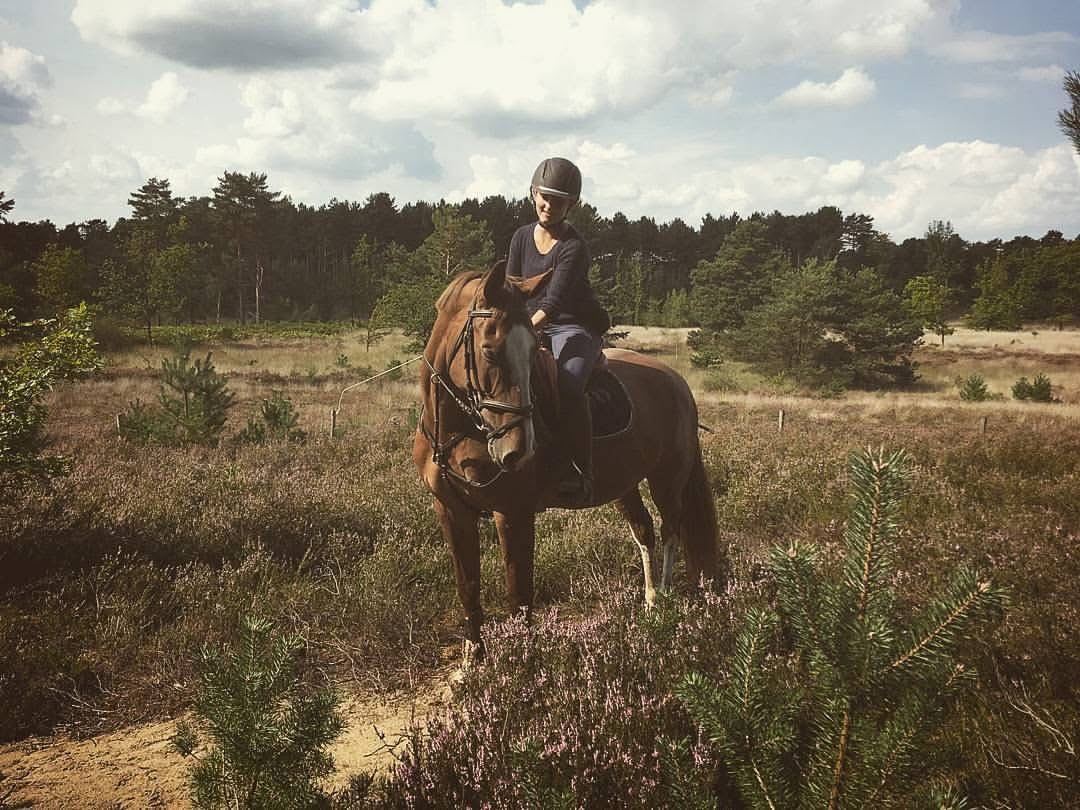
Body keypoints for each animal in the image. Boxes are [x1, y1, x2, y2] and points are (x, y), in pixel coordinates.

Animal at [412, 260, 725, 662]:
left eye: (532, 353)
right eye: (490, 351)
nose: (518, 451)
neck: (459, 430)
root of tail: (678, 382)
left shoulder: (513, 512)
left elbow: (519, 595)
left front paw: (521, 662)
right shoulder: (451, 510)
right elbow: (468, 587)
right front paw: (472, 660)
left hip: (666, 479)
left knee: (671, 529)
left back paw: (666, 604)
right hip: (625, 484)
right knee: (644, 531)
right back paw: (651, 603)